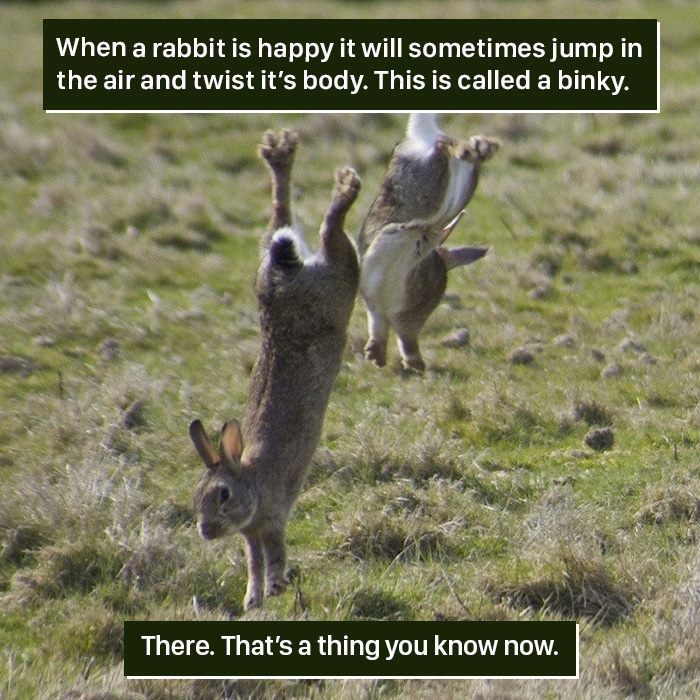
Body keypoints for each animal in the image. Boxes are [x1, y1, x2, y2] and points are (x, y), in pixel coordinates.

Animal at [189, 128, 360, 610]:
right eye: (196, 498)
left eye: (223, 495)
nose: (206, 531)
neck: (250, 476)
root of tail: (280, 285)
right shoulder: (251, 534)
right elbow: (252, 561)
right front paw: (253, 599)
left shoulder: (273, 519)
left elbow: (274, 553)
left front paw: (277, 586)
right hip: (277, 257)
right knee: (282, 214)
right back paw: (280, 156)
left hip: (341, 283)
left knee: (333, 235)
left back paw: (345, 188)